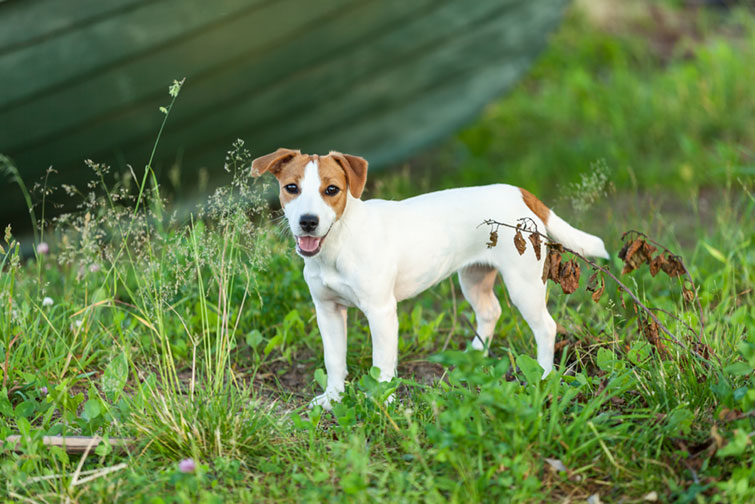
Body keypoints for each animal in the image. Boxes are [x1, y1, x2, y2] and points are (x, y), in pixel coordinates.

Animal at [251, 148, 612, 408]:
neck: (338, 244)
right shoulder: (327, 311)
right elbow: (334, 359)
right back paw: (473, 355)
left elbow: (382, 363)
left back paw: (543, 376)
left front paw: (381, 400)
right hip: (473, 279)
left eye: (332, 190)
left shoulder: (381, 313)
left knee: (546, 328)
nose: (308, 221)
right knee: (490, 311)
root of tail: (519, 193)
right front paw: (333, 398)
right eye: (291, 188)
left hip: (524, 286)